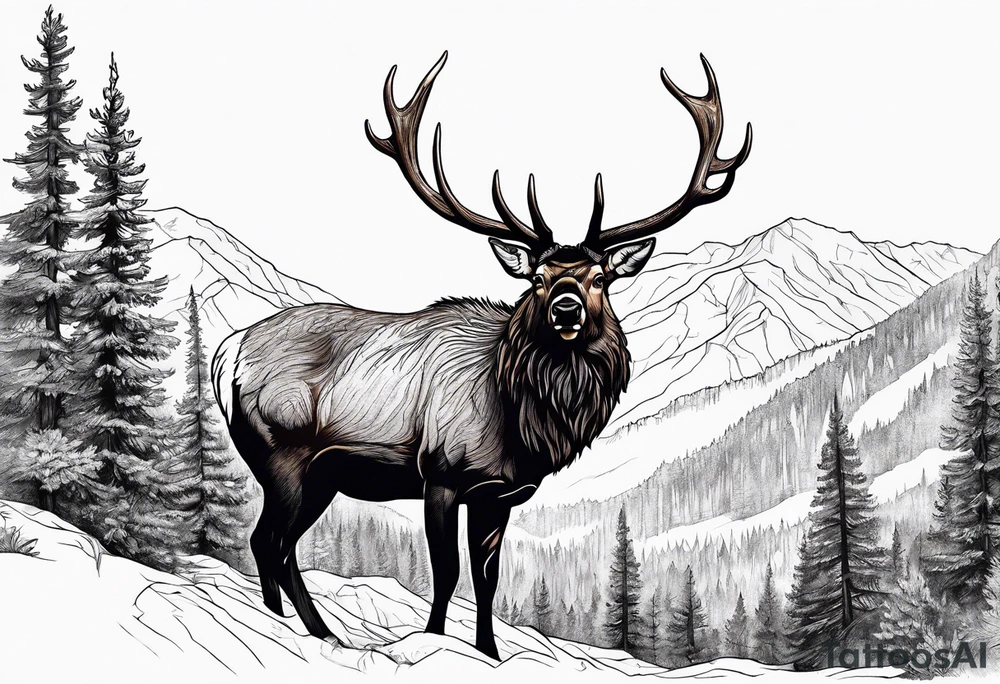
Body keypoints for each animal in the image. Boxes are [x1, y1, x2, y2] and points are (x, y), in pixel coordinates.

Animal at [211, 51, 750, 660]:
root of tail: (227, 351)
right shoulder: (441, 474)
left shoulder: (500, 494)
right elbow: (446, 573)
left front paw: (489, 653)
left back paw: (307, 630)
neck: (523, 421)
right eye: (538, 277)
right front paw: (432, 642)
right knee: (269, 542)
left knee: (274, 545)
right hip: (282, 454)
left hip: (320, 477)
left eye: (601, 278)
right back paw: (309, 631)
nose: (566, 308)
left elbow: (488, 579)